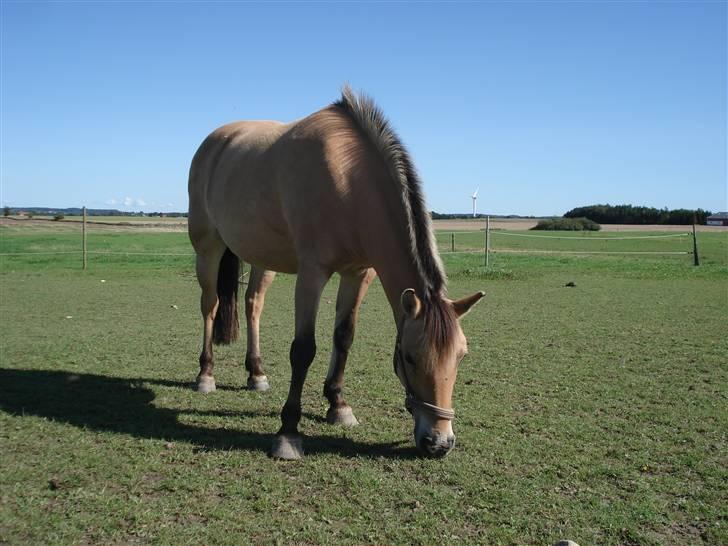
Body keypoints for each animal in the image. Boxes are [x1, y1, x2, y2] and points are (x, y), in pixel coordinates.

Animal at [188, 86, 484, 460]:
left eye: (461, 356)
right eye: (410, 356)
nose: (439, 442)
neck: (345, 180)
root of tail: (215, 141)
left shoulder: (359, 273)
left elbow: (344, 337)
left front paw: (338, 405)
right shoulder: (312, 274)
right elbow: (303, 349)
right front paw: (288, 433)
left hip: (262, 258)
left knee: (253, 303)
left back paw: (256, 373)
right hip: (207, 248)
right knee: (209, 306)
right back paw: (205, 375)